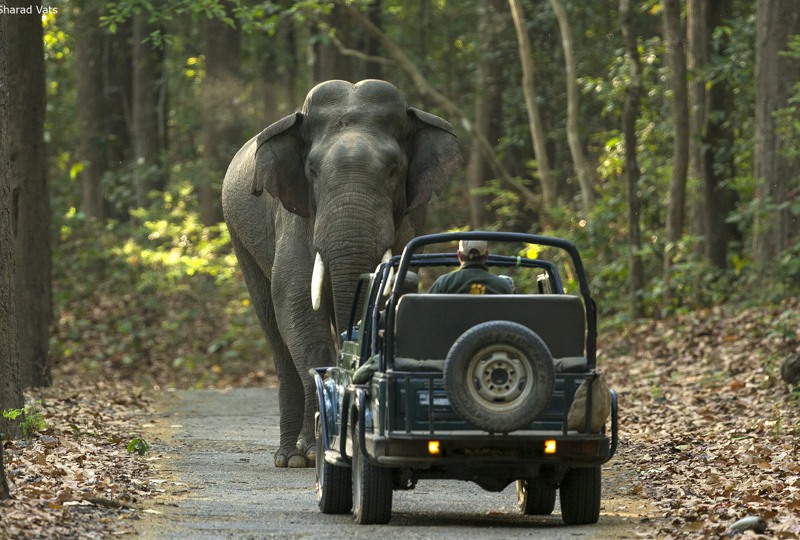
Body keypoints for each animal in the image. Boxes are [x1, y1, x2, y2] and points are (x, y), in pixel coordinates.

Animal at [223, 80, 462, 468]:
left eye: (394, 168)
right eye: (313, 171)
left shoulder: (410, 218)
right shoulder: (296, 215)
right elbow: (296, 304)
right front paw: (312, 450)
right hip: (240, 237)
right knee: (274, 328)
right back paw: (290, 457)